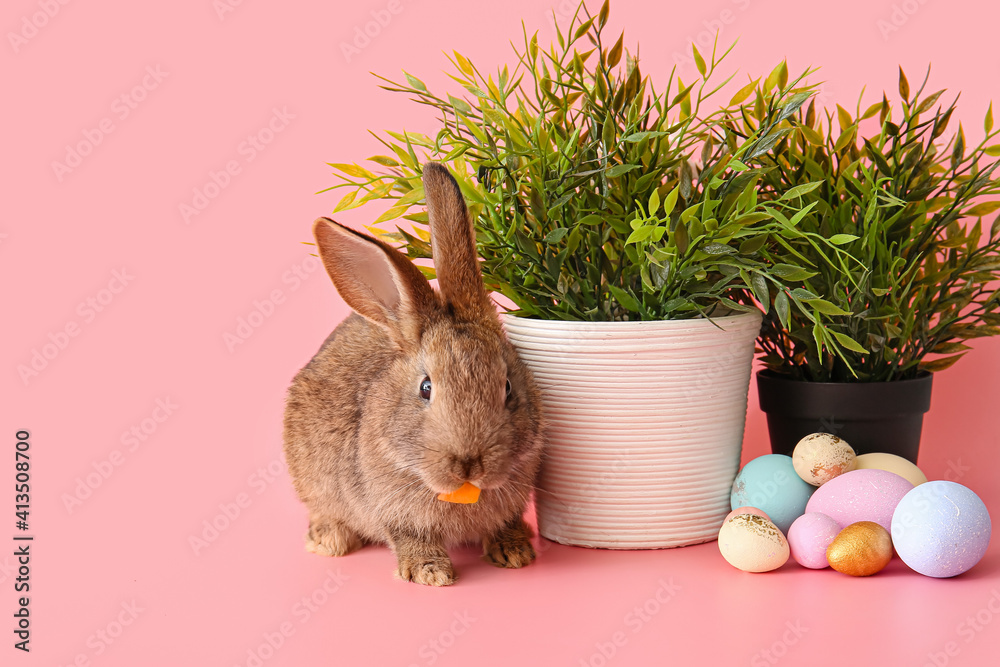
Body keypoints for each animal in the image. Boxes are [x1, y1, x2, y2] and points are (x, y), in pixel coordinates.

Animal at [283, 162, 545, 586]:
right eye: (425, 388)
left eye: (507, 387)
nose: (469, 464)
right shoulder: (392, 510)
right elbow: (410, 537)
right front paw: (430, 573)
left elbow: (506, 523)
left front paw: (516, 552)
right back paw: (329, 540)